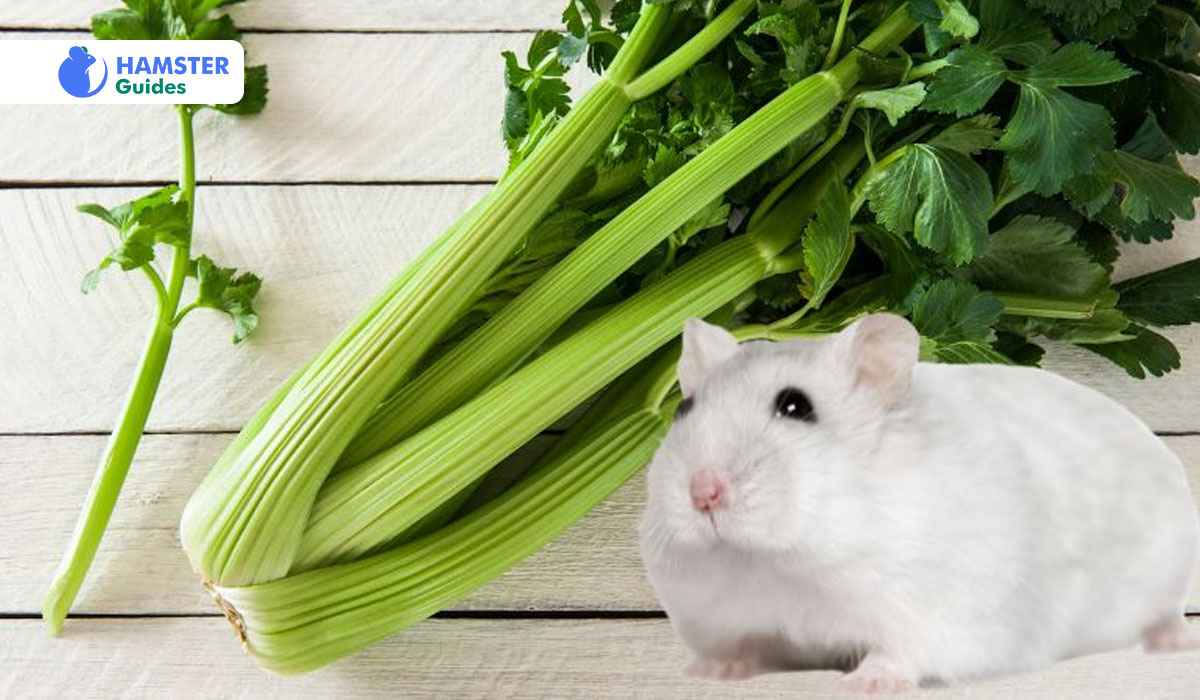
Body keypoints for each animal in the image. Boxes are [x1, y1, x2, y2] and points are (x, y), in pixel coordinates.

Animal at [639, 314, 1200, 692]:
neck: (788, 558)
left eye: (795, 406)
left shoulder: (928, 613)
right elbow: (744, 645)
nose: (702, 491)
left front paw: (862, 684)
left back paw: (1177, 642)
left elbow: (898, 653)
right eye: (685, 410)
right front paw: (710, 672)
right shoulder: (727, 616)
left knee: (1166, 615)